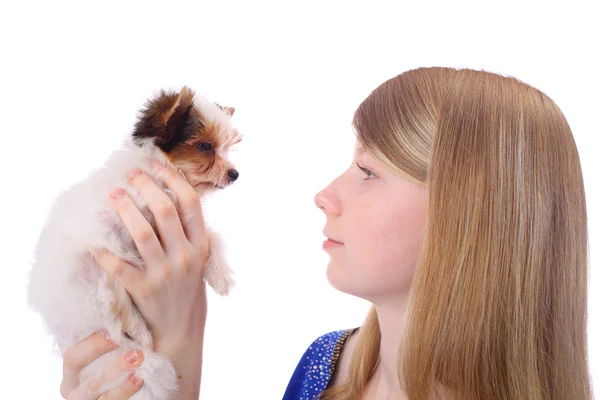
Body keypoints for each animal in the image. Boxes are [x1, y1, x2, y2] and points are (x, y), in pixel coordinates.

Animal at [26, 87, 241, 400]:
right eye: (205, 146)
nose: (235, 174)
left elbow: (212, 236)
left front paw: (220, 274)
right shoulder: (111, 233)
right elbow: (117, 274)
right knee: (110, 306)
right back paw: (137, 329)